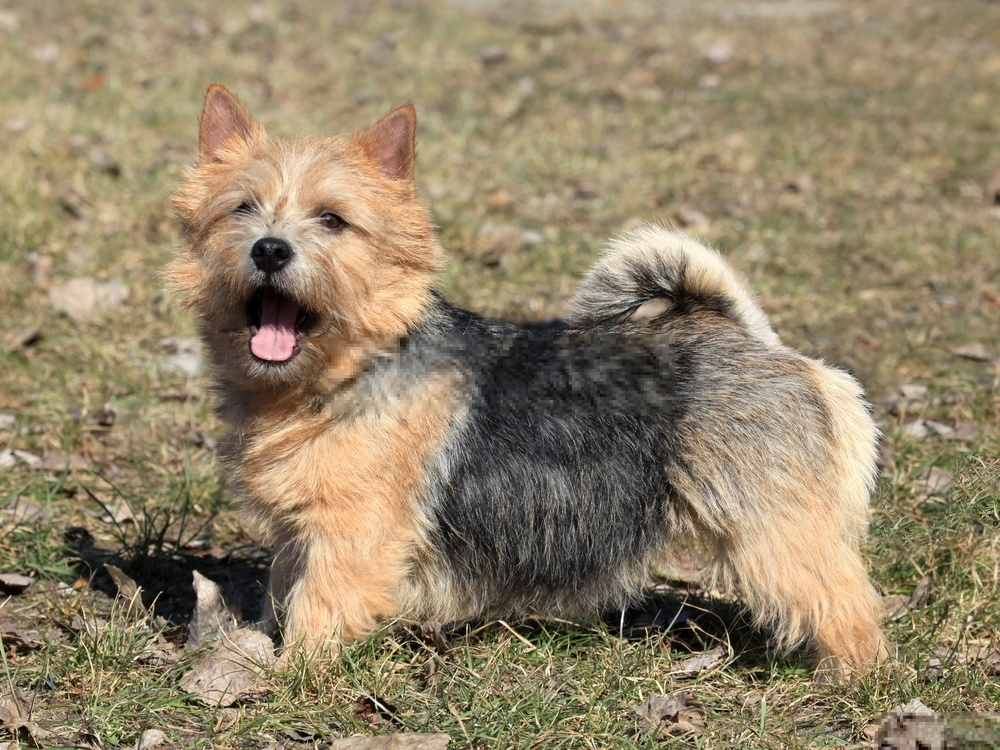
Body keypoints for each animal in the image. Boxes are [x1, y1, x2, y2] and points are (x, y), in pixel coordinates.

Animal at [166, 85, 892, 680]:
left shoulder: (351, 534)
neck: (346, 372)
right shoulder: (299, 531)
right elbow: (285, 591)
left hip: (776, 530)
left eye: (332, 219)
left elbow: (319, 607)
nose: (269, 248)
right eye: (242, 209)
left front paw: (294, 680)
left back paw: (851, 682)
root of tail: (753, 338)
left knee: (846, 602)